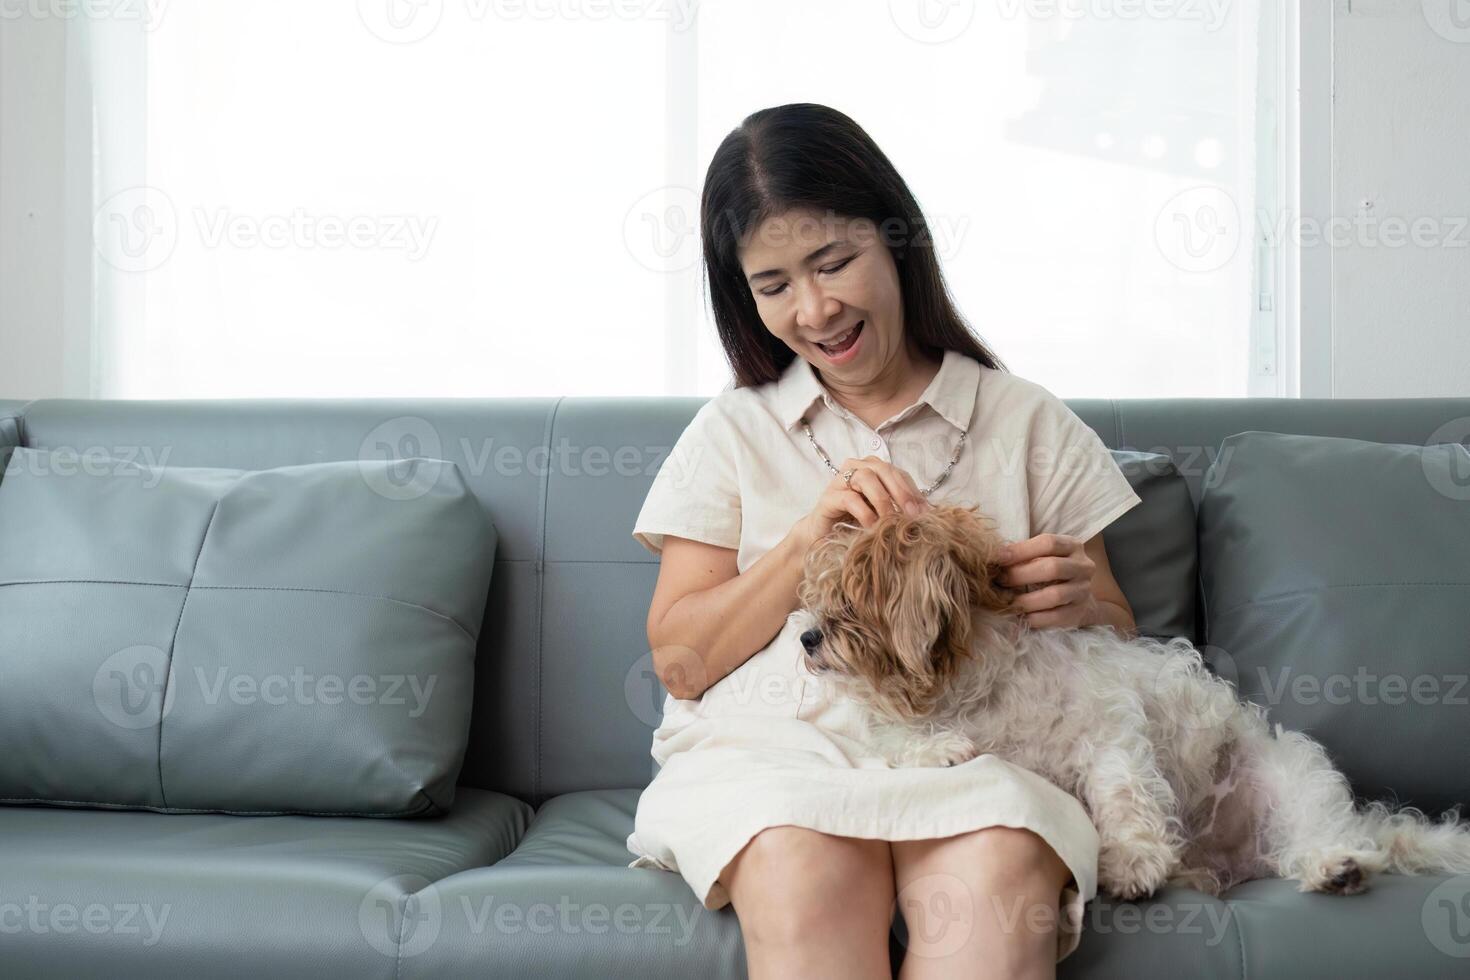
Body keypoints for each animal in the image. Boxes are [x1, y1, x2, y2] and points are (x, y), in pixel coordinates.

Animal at [793, 505, 1470, 905]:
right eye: (818, 597)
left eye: (847, 599)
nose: (807, 638)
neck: (978, 688)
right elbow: (899, 739)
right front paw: (941, 749)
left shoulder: (1110, 734)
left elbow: (1122, 796)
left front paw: (1132, 862)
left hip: (1297, 778)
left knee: (1322, 841)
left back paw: (1338, 865)